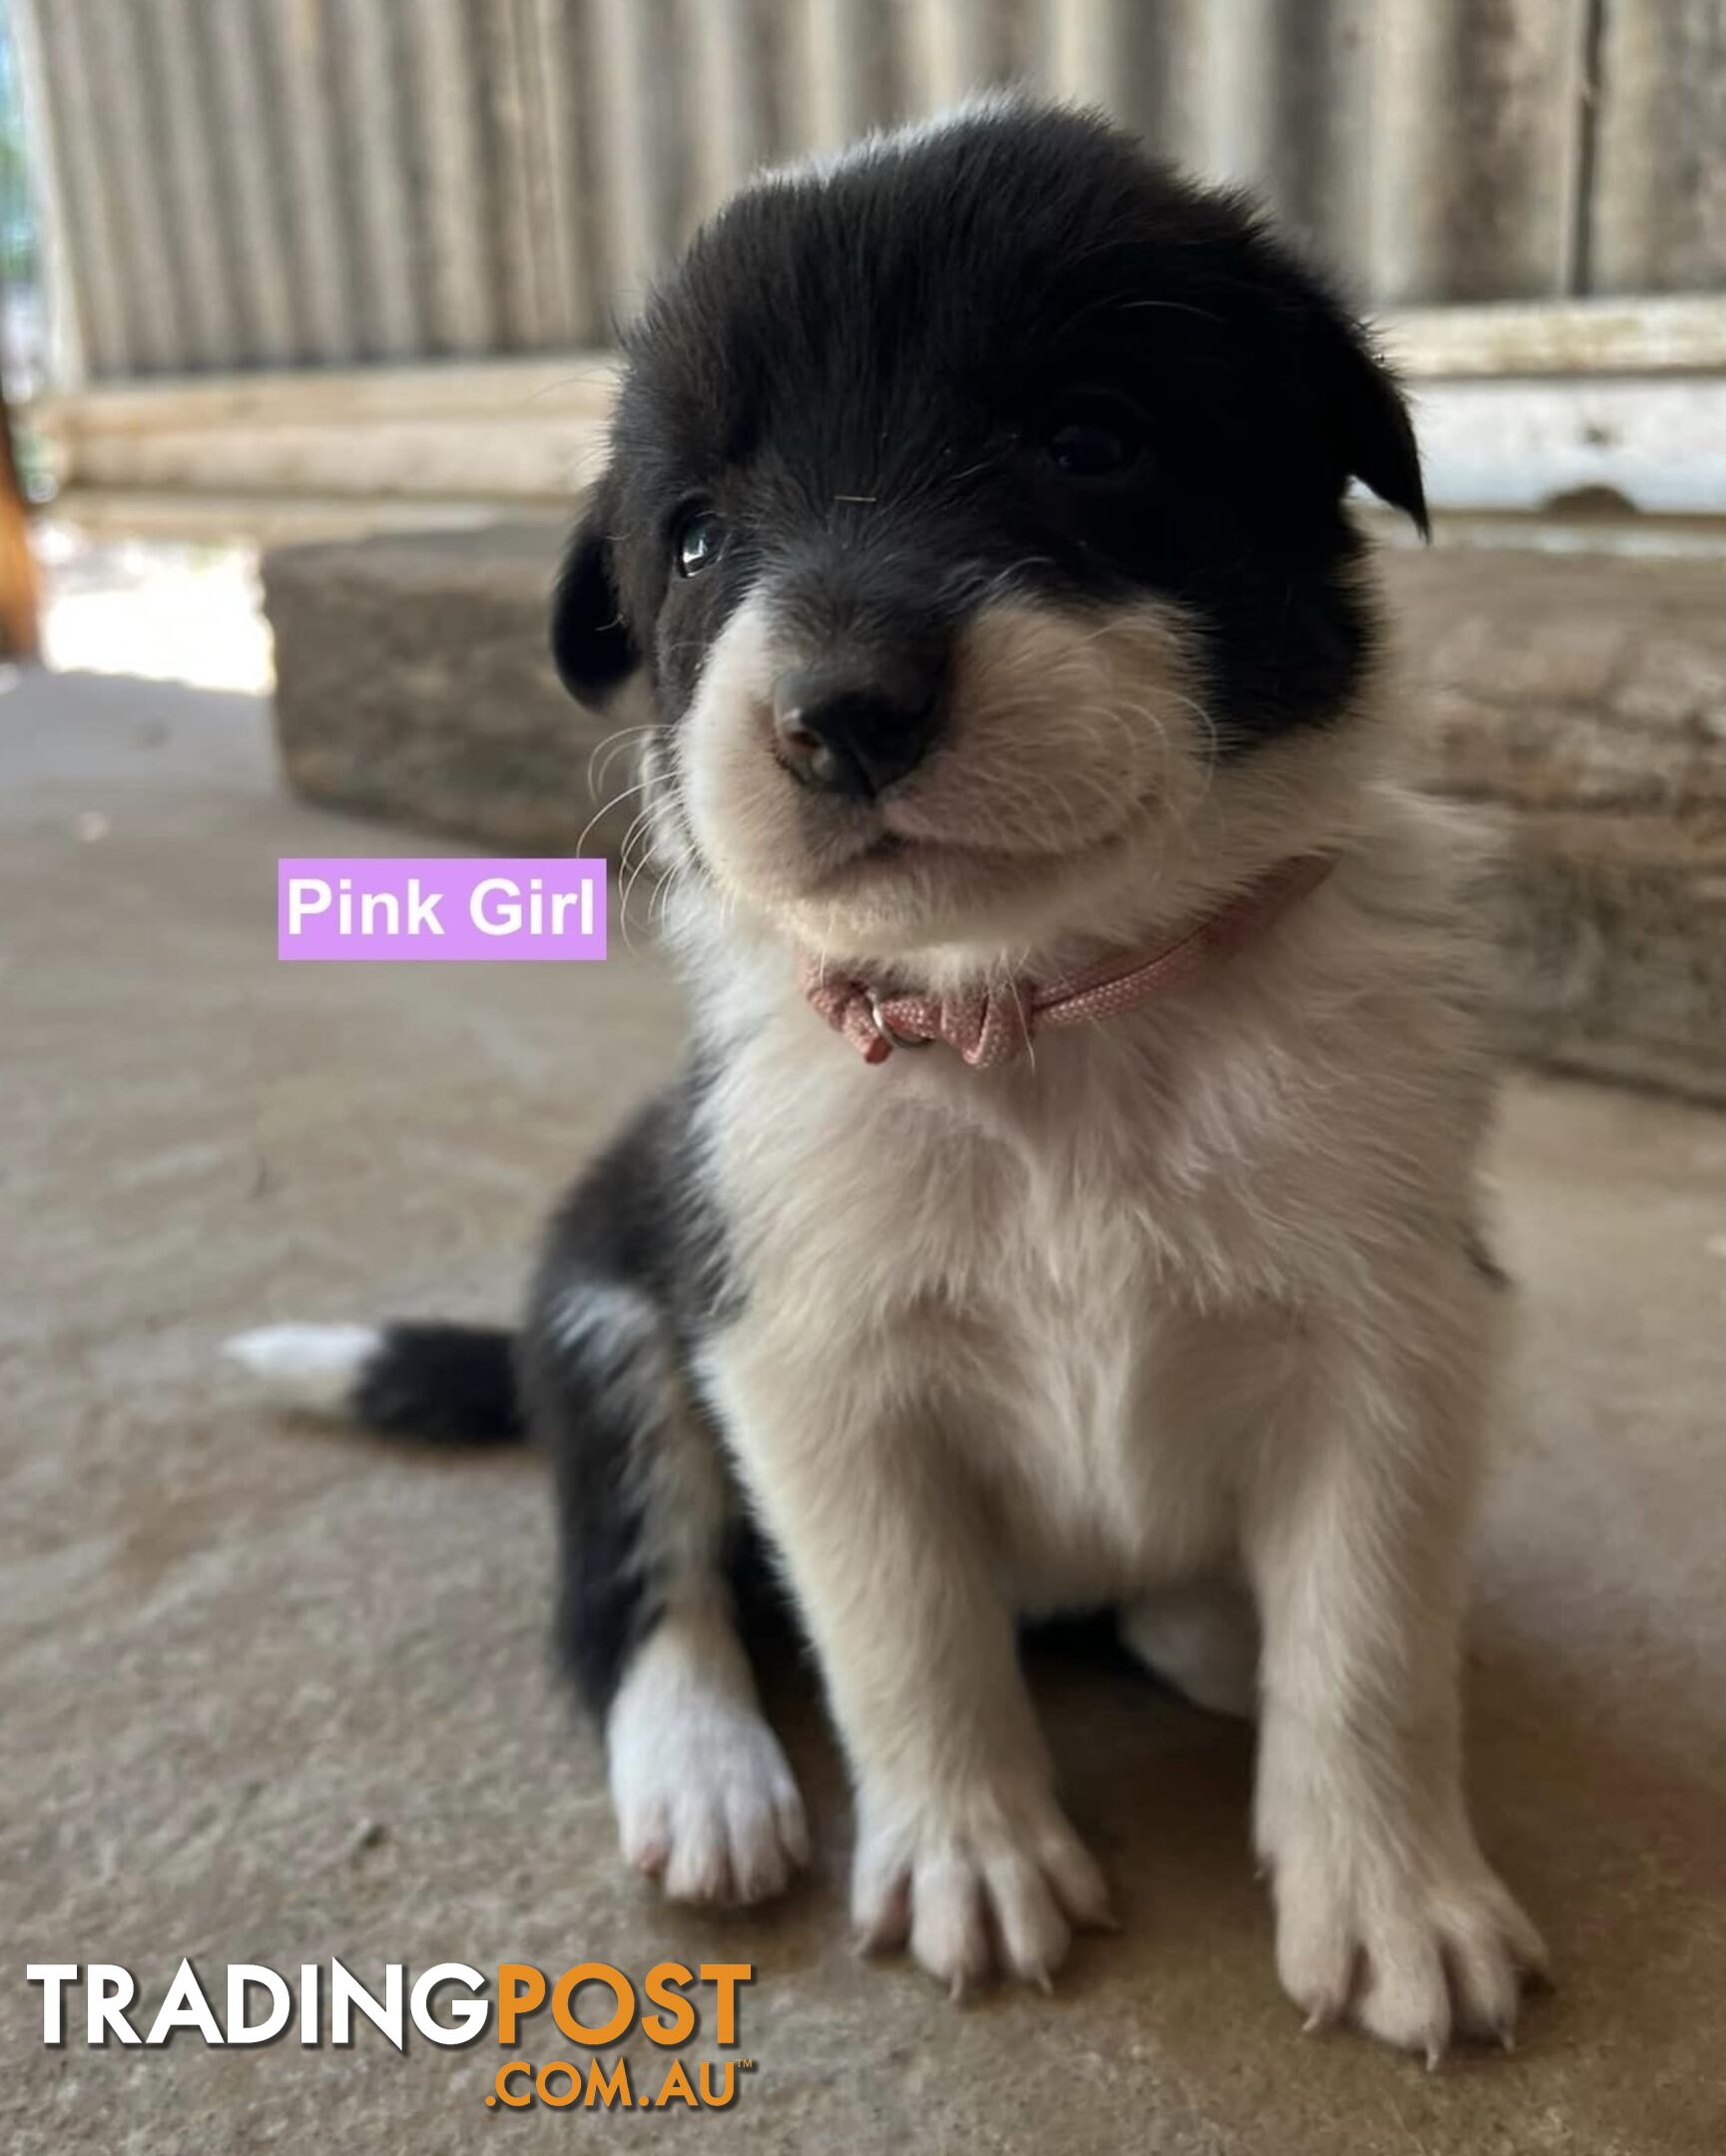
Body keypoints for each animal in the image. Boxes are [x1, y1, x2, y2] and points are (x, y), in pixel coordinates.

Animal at [225, 101, 1535, 2052]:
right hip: (604, 1312)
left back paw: (1203, 1625)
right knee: (635, 1591)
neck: (1045, 1013)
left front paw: (1392, 1897)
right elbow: (907, 1629)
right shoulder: (796, 1351)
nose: (840, 709)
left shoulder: (1393, 1333)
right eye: (695, 541)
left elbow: (1366, 1643)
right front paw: (971, 1855)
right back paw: (707, 1779)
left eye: (1092, 439)